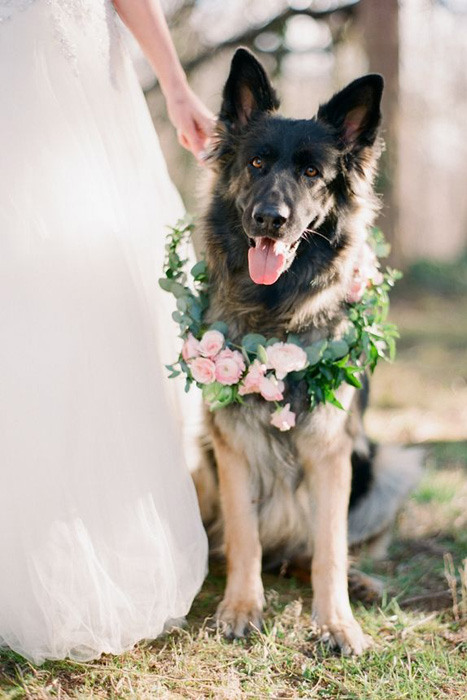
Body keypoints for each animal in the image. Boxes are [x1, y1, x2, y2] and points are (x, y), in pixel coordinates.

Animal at [192, 49, 422, 656]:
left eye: (313, 173)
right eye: (255, 163)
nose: (270, 219)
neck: (278, 316)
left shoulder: (331, 450)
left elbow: (330, 549)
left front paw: (336, 622)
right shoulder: (232, 445)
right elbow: (244, 536)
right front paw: (241, 607)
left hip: (385, 468)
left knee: (315, 550)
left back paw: (360, 584)